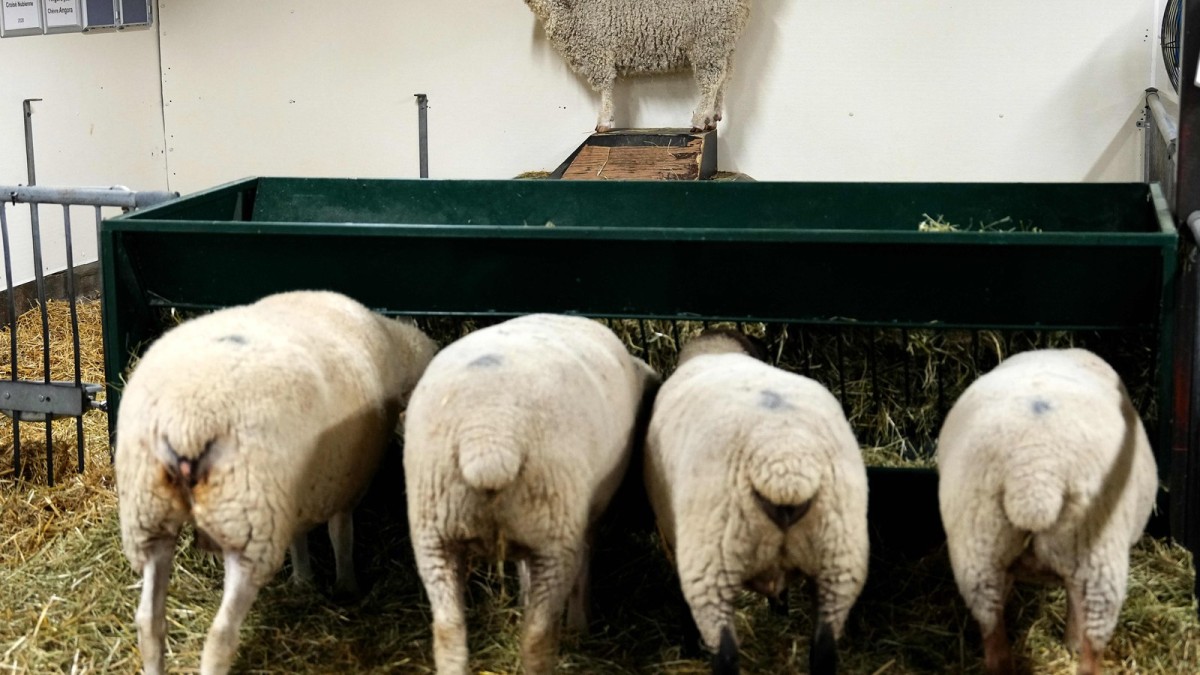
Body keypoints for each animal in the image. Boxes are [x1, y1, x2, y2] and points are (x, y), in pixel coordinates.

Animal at [114, 290, 437, 675]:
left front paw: (302, 580)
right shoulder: (345, 483)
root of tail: (185, 422)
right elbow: (341, 536)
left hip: (148, 515)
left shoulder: (299, 490)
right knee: (220, 635)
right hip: (247, 523)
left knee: (149, 622)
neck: (392, 343)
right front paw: (347, 586)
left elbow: (300, 538)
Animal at [403, 313, 660, 675]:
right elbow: (583, 568)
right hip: (553, 532)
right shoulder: (583, 519)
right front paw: (579, 626)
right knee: (538, 638)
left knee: (448, 631)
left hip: (434, 534)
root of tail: (489, 435)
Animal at [523, 0, 753, 132]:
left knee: (711, 81)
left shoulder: (598, 49)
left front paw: (604, 121)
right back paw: (713, 117)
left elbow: (605, 87)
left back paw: (699, 121)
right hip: (724, 43)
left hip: (707, 40)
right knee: (724, 78)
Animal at [644, 329, 870, 675]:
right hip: (840, 558)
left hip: (710, 562)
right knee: (824, 648)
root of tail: (784, 466)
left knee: (725, 652)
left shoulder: (672, 538)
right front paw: (779, 610)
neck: (716, 350)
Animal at [936, 348, 1158, 675]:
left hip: (980, 554)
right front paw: (1071, 642)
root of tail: (1035, 475)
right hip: (1100, 559)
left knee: (994, 642)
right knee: (1091, 649)